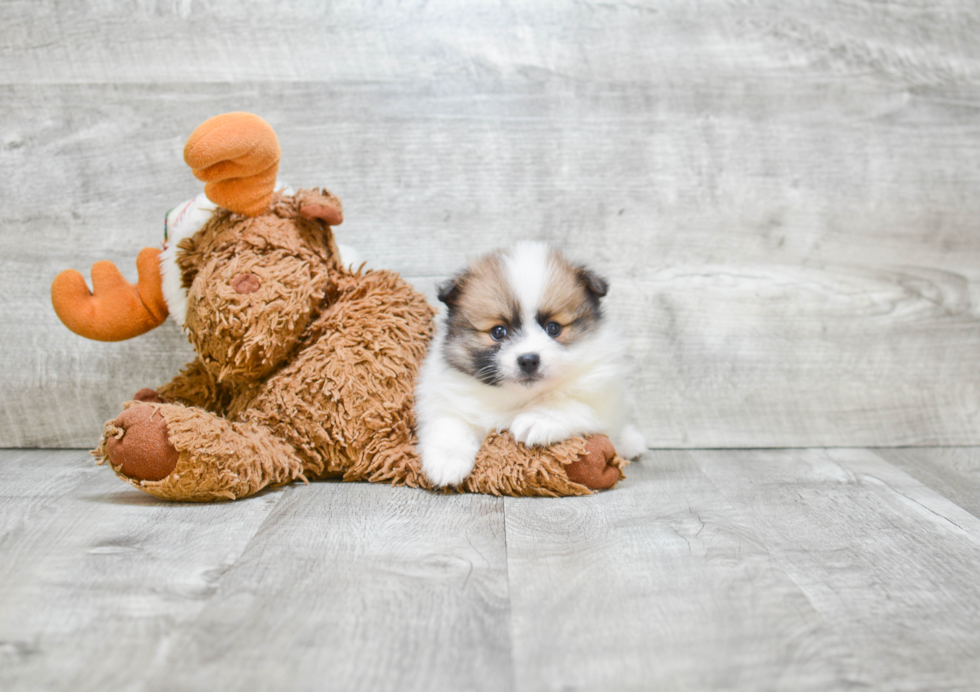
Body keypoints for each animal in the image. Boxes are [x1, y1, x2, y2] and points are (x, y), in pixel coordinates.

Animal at [416, 242, 652, 486]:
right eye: (498, 332)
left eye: (553, 328)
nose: (528, 360)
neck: (518, 397)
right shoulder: (446, 398)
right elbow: (450, 423)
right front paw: (447, 461)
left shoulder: (601, 398)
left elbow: (571, 402)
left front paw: (539, 419)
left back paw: (631, 442)